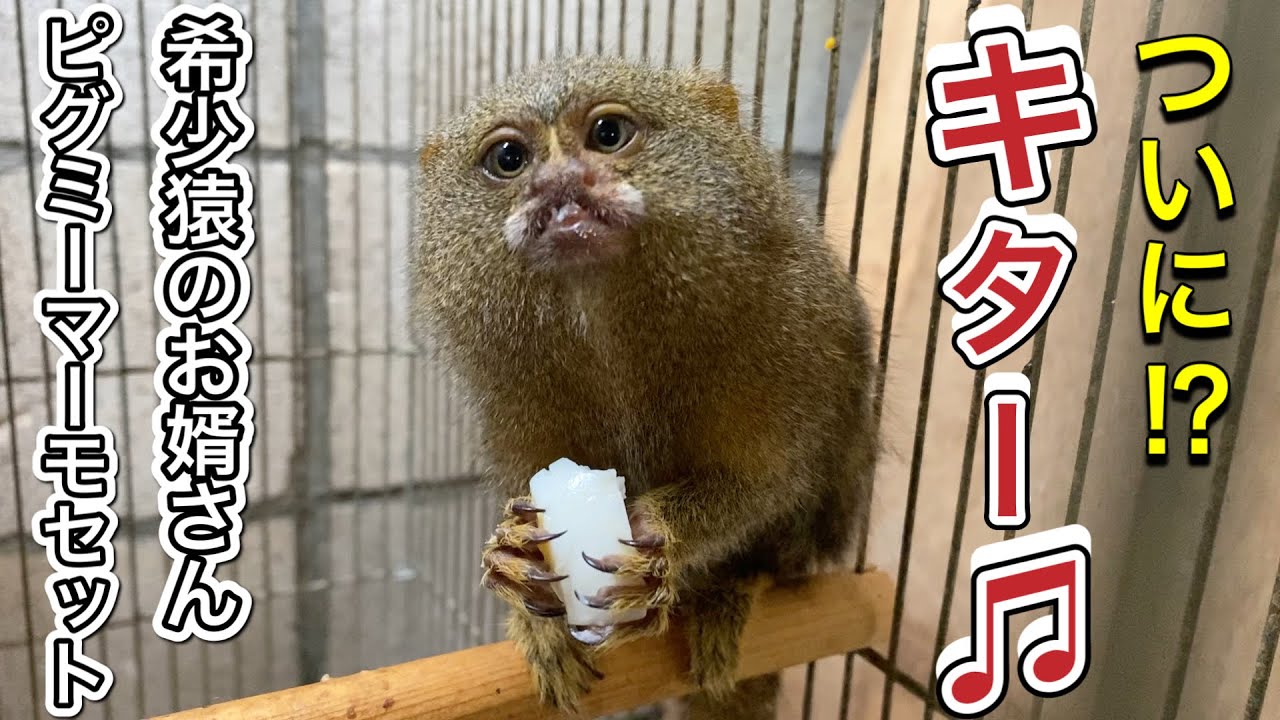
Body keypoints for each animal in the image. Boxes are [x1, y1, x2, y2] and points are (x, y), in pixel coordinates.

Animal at [409, 56, 878, 720]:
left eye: (608, 134)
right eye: (509, 158)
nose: (560, 183)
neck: (604, 315)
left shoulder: (795, 323)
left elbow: (768, 482)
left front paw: (661, 535)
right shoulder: (510, 386)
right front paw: (519, 567)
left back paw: (725, 592)